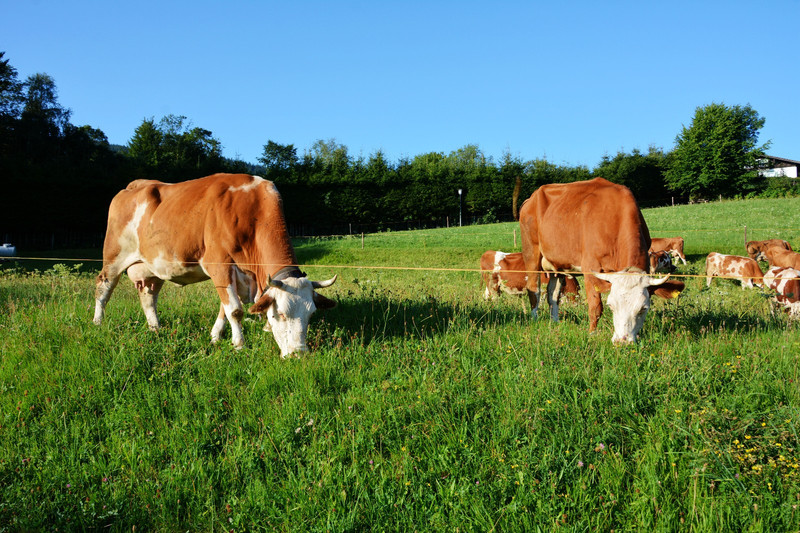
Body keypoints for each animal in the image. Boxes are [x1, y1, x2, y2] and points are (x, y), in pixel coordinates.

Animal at [94, 175, 338, 358]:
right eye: (281, 314)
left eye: (311, 314)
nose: (299, 354)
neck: (253, 211)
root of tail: (134, 185)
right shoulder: (219, 263)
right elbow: (235, 310)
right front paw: (239, 344)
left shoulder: (237, 274)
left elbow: (225, 308)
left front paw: (215, 337)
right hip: (113, 256)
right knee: (103, 288)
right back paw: (98, 322)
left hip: (152, 267)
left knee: (148, 297)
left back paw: (156, 329)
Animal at [520, 178, 688, 344]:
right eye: (611, 306)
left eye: (643, 309)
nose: (622, 341)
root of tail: (531, 198)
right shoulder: (590, 267)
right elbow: (595, 306)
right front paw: (592, 333)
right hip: (531, 254)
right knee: (534, 288)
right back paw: (535, 319)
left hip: (558, 265)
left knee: (552, 295)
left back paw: (555, 322)